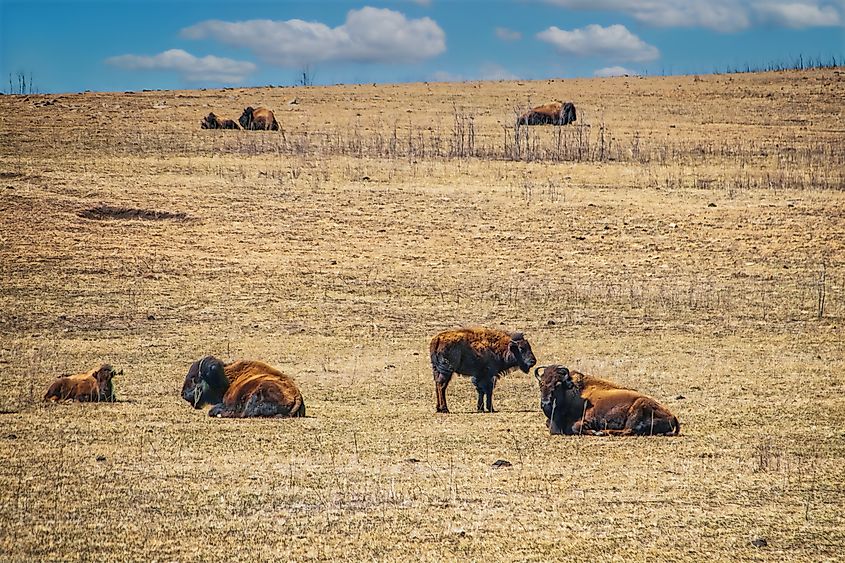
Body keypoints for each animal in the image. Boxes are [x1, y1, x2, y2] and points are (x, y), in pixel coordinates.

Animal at [536, 365, 680, 436]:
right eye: (541, 384)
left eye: (557, 384)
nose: (545, 403)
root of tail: (673, 416)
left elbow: (576, 427)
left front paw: (595, 431)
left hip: (638, 408)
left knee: (628, 430)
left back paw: (604, 431)